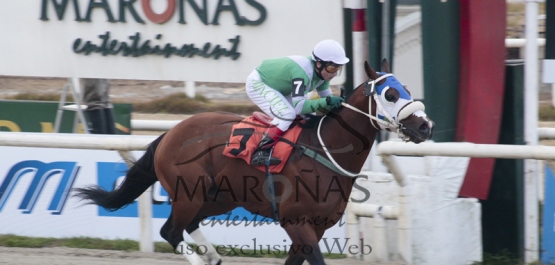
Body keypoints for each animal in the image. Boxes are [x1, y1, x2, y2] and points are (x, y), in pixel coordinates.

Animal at [76, 59, 436, 264]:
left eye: (406, 88)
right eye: (390, 94)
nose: (425, 126)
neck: (325, 151)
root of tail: (170, 133)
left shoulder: (317, 227)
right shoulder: (296, 222)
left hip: (219, 197)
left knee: (189, 226)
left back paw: (214, 259)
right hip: (189, 193)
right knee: (171, 231)